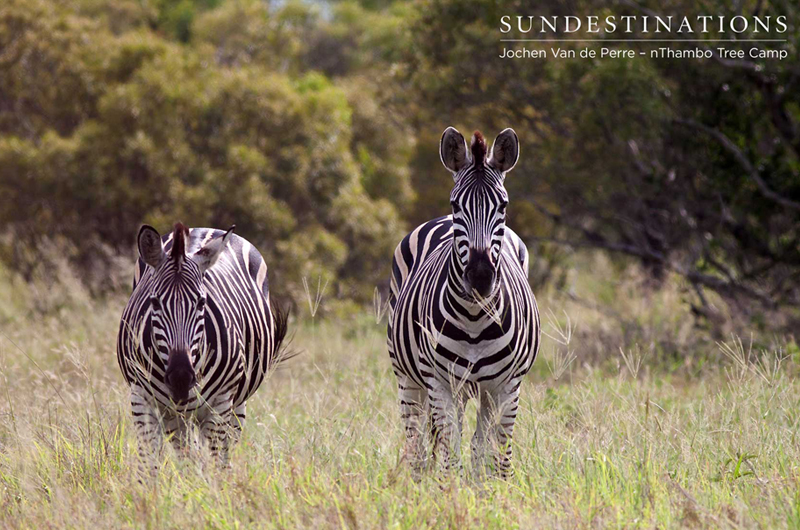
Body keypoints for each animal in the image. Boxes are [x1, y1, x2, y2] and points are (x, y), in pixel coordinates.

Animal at [117, 222, 287, 473]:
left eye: (201, 302)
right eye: (154, 302)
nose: (180, 378)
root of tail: (203, 228)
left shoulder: (220, 404)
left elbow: (216, 465)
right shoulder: (141, 399)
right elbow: (149, 466)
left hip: (235, 404)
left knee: (225, 449)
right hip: (176, 415)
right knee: (187, 451)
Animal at [387, 127, 540, 478]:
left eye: (503, 205)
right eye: (456, 204)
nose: (481, 277)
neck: (474, 318)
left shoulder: (507, 387)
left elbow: (495, 455)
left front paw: (493, 491)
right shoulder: (442, 384)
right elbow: (450, 455)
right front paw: (450, 491)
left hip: (480, 392)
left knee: (477, 445)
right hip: (409, 380)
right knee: (417, 444)